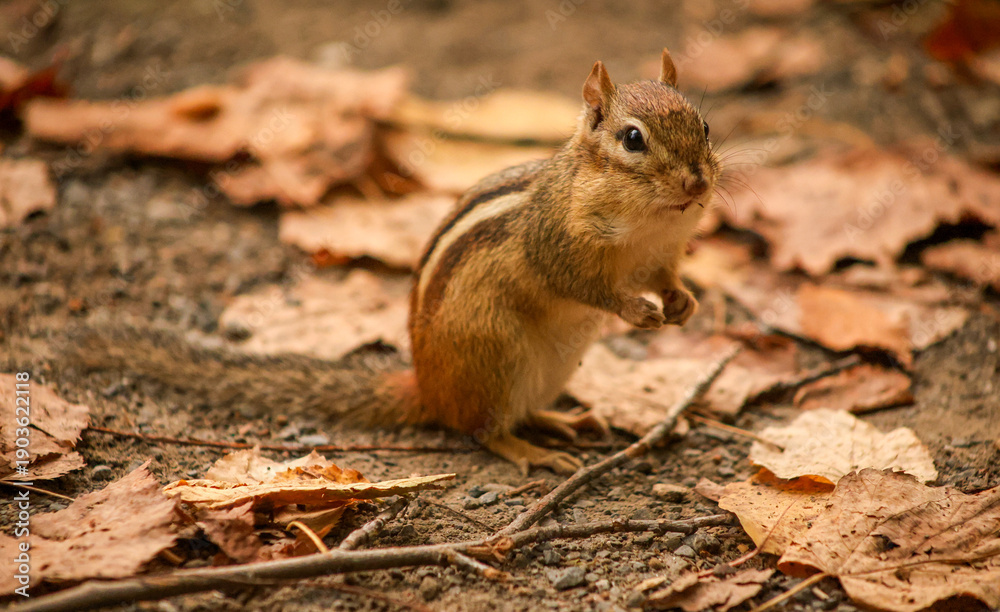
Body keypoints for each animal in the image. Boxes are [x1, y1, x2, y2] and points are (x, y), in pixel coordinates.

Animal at [70, 49, 719, 475]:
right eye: (632, 139)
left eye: (705, 125)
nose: (697, 183)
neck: (647, 221)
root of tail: (427, 389)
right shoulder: (556, 241)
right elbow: (586, 284)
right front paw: (636, 310)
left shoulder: (660, 254)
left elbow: (665, 276)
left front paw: (683, 303)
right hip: (497, 357)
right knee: (483, 430)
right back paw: (533, 452)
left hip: (547, 370)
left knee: (515, 414)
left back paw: (561, 422)